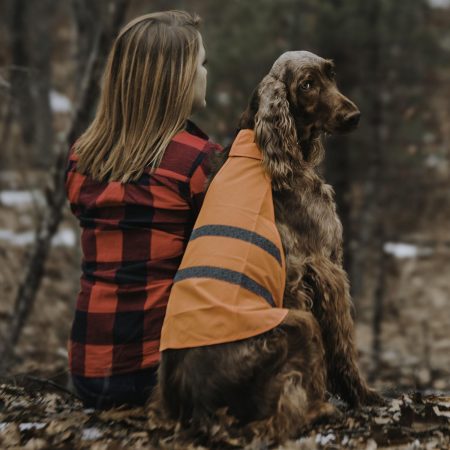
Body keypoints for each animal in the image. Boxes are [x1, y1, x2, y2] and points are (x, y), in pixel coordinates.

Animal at [153, 51, 382, 440]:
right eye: (307, 84)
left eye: (331, 74)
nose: (354, 116)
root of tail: (198, 403)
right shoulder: (326, 266)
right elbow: (343, 344)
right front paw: (362, 393)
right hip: (301, 323)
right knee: (283, 416)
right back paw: (320, 408)